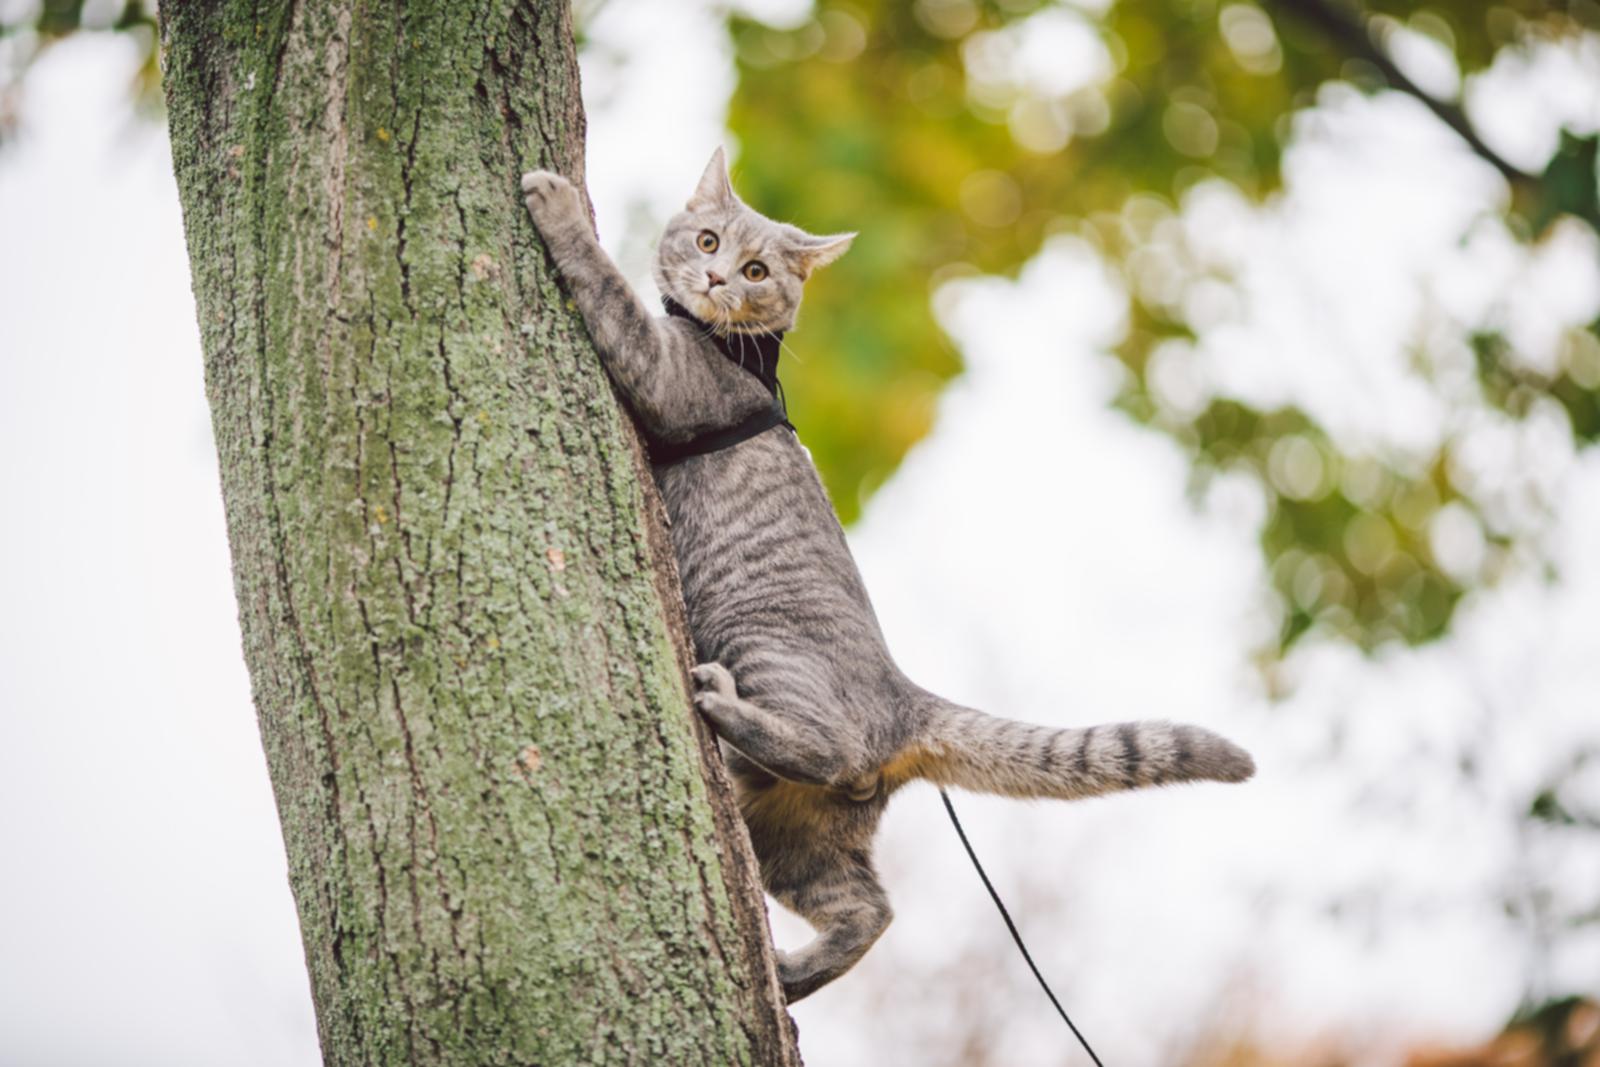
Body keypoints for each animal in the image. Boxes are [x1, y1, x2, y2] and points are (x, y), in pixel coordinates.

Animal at [518, 147, 1254, 1004]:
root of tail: (904, 698)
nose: (716, 278)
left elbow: (607, 287)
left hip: (762, 648)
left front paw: (558, 204)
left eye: (755, 269)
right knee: (870, 909)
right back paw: (793, 973)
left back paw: (724, 704)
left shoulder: (661, 373)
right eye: (706, 241)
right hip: (796, 837)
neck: (730, 348)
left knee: (831, 751)